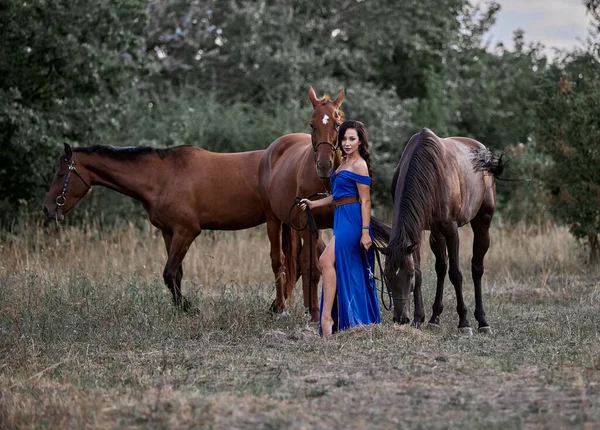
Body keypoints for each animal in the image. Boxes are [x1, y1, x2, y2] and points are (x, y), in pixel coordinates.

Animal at [44, 143, 272, 310]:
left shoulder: (186, 232)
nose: (47, 208)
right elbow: (176, 275)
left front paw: (188, 308)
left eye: (61, 174)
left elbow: (168, 273)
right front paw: (181, 308)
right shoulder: (168, 232)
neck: (164, 177)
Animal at [260, 87, 344, 320]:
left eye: (337, 123)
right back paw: (281, 306)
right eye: (312, 124)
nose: (324, 165)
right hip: (275, 221)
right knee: (279, 260)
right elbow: (311, 266)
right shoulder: (309, 224)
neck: (326, 183)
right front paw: (315, 312)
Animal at [382, 129, 504, 334]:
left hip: (482, 222)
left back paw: (482, 321)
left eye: (408, 276)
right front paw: (419, 318)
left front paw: (464, 322)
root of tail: (483, 151)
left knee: (476, 268)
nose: (401, 319)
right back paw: (434, 318)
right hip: (436, 233)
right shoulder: (418, 233)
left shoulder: (450, 228)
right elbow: (424, 273)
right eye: (387, 276)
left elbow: (456, 274)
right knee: (441, 267)